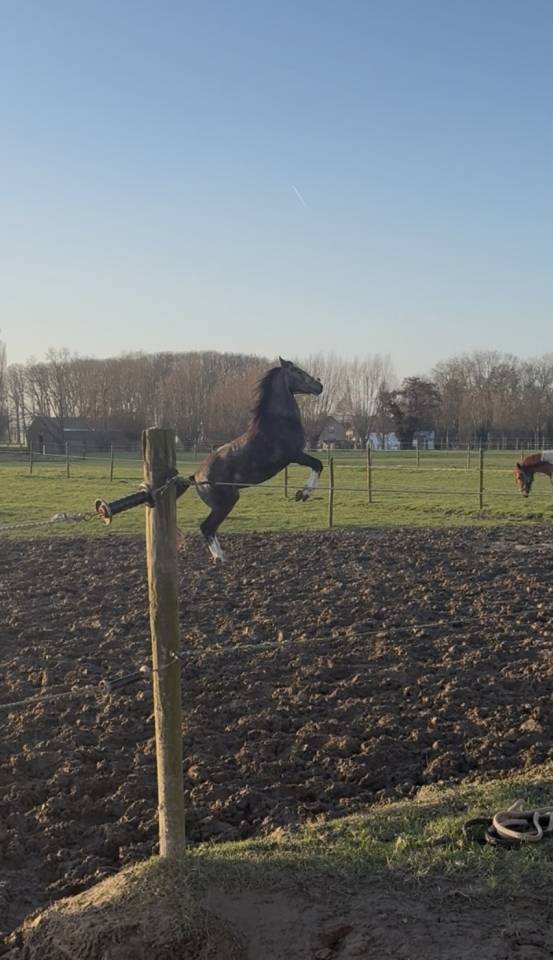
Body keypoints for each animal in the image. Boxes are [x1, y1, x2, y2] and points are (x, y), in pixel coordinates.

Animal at [178, 357, 323, 561]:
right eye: (298, 372)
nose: (320, 386)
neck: (279, 421)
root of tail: (195, 477)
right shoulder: (294, 455)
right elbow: (318, 465)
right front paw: (303, 494)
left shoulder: (295, 456)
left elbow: (317, 465)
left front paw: (301, 494)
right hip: (224, 504)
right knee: (206, 527)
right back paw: (220, 558)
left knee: (210, 528)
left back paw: (221, 556)